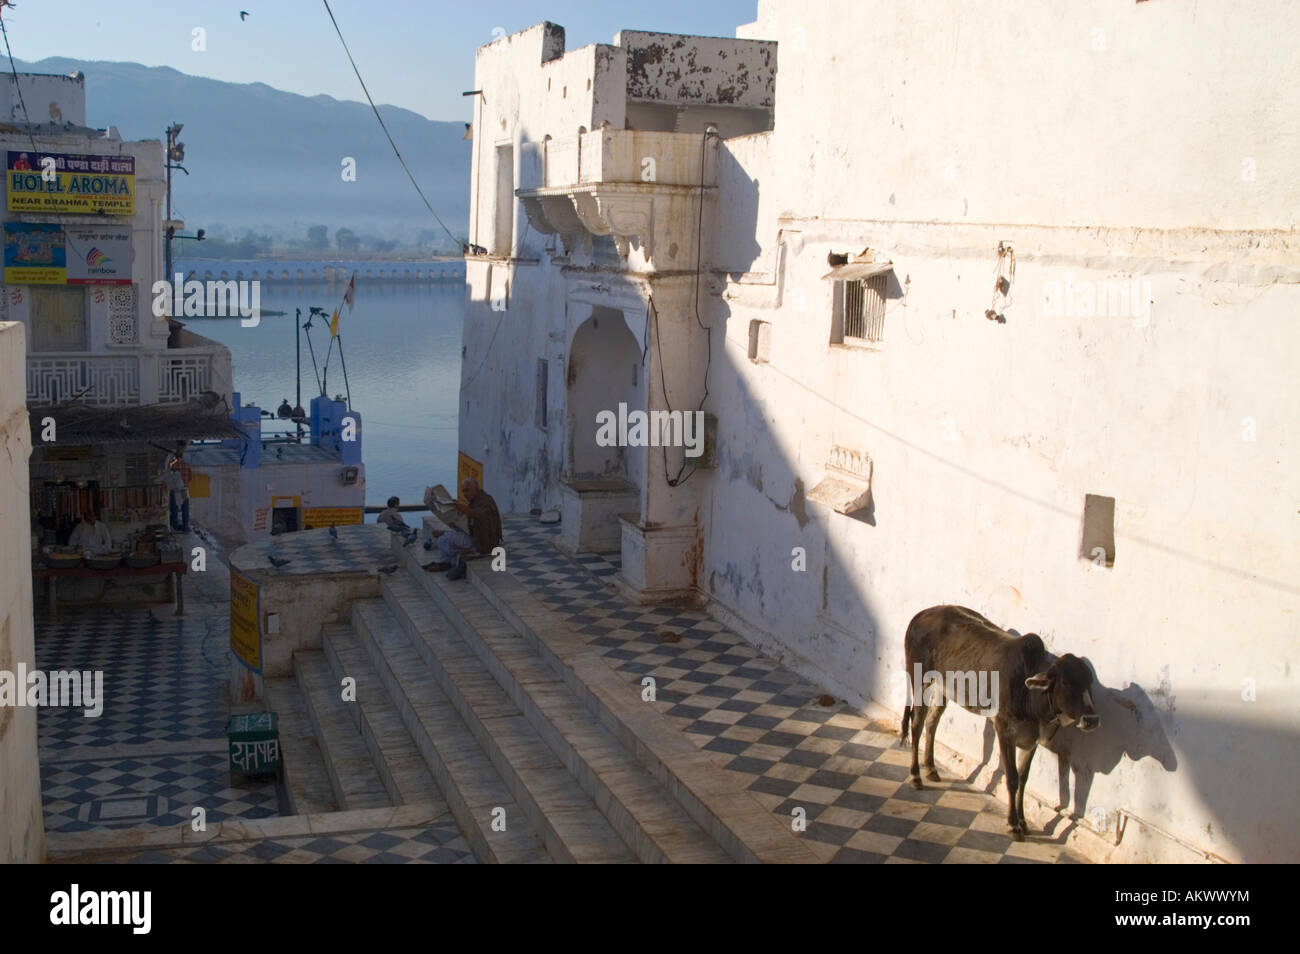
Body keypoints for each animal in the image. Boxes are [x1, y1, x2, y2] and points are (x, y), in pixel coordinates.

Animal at [899, 605, 1099, 839]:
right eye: (1066, 682)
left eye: (1090, 682)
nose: (1091, 720)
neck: (1030, 696)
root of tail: (922, 613)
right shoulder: (1004, 730)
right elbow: (1011, 778)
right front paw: (1013, 824)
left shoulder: (1032, 742)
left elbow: (1023, 778)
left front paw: (1023, 822)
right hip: (918, 680)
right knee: (916, 725)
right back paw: (916, 776)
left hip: (943, 688)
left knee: (931, 723)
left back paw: (930, 768)